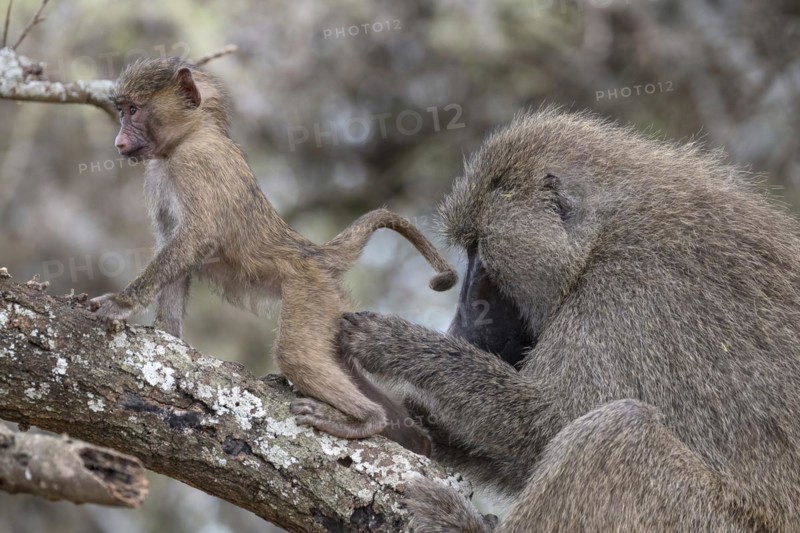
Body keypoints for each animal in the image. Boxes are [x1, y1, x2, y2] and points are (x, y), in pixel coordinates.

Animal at [88, 57, 457, 456]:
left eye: (134, 110)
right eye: (122, 111)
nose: (119, 141)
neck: (192, 134)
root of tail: (312, 253)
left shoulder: (195, 164)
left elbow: (194, 241)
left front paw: (121, 303)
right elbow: (175, 251)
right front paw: (166, 333)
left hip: (308, 290)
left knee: (295, 353)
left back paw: (366, 420)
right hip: (331, 305)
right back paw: (415, 440)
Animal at [337, 107, 800, 530]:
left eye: (478, 249)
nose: (460, 325)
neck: (602, 235)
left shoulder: (629, 292)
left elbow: (549, 423)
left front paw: (395, 343)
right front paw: (407, 417)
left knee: (620, 428)